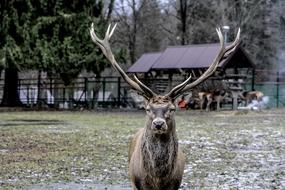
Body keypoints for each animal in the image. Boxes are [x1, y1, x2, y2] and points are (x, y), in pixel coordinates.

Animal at [89, 23, 240, 190]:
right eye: (148, 109)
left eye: (172, 109)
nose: (158, 124)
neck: (157, 178)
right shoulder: (138, 183)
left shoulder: (175, 184)